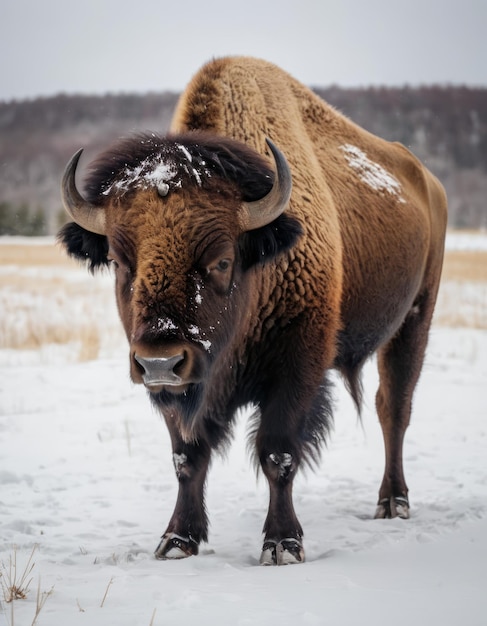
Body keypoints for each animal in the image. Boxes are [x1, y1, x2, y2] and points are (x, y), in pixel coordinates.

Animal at [57, 57, 446, 564]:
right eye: (122, 263)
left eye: (222, 260)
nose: (160, 360)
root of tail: (428, 182)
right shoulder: (184, 390)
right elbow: (187, 457)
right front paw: (177, 540)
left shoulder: (296, 366)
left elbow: (277, 453)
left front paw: (282, 544)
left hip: (415, 318)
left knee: (394, 407)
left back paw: (392, 503)